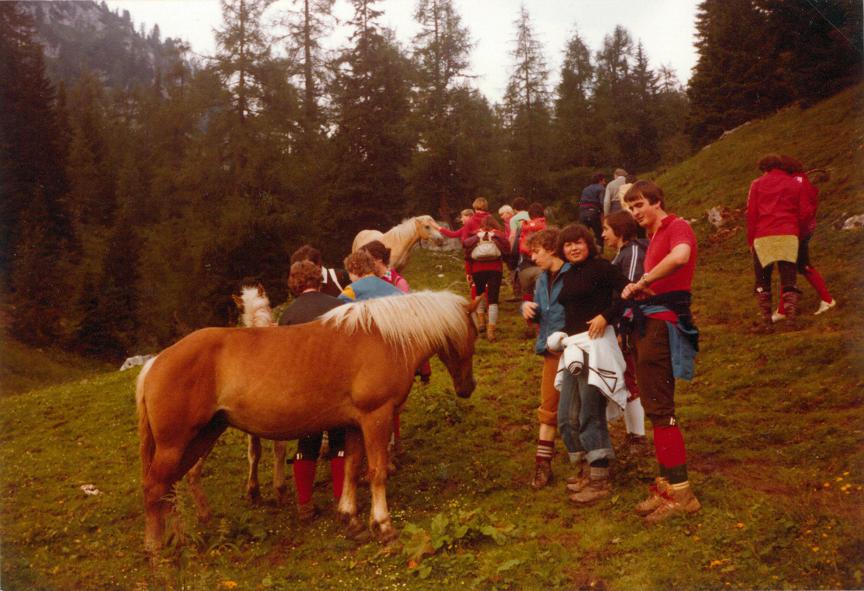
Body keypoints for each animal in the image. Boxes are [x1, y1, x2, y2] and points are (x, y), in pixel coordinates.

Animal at [137, 292, 480, 556]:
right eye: (475, 332)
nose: (468, 387)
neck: (383, 338)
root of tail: (155, 363)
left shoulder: (354, 424)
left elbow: (351, 468)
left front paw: (350, 518)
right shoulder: (375, 417)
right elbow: (377, 472)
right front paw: (383, 526)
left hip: (201, 438)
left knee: (170, 488)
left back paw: (181, 538)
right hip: (175, 445)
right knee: (155, 488)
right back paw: (155, 547)